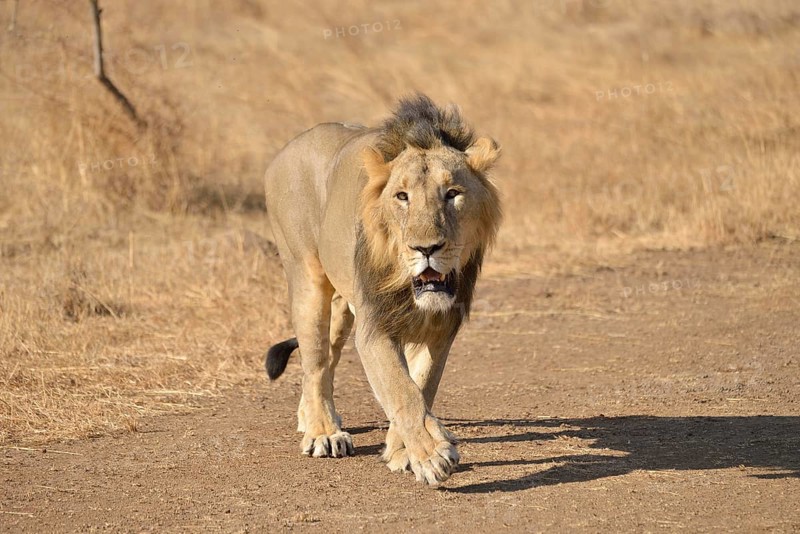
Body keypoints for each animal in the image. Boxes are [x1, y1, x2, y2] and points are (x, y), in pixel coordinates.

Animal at [263, 94, 501, 486]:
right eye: (402, 196)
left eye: (452, 193)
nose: (426, 248)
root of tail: (286, 149)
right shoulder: (375, 327)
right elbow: (401, 390)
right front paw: (431, 456)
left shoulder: (442, 327)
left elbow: (421, 384)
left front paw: (403, 451)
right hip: (307, 280)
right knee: (315, 362)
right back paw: (323, 432)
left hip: (343, 308)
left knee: (327, 360)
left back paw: (311, 417)